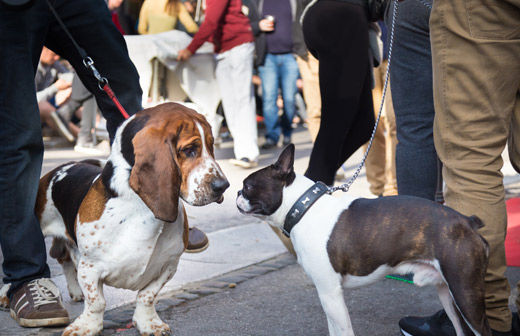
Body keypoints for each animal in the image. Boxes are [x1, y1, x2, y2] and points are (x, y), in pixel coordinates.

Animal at [5, 103, 228, 334]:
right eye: (189, 150)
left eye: (211, 146)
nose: (223, 186)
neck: (140, 207)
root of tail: (64, 167)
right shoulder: (91, 267)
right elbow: (96, 302)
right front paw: (87, 327)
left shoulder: (168, 266)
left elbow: (147, 296)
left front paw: (148, 323)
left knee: (65, 259)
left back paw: (75, 290)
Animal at [236, 145, 492, 336]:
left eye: (247, 186)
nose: (236, 193)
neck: (303, 208)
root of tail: (468, 221)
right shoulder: (327, 295)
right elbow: (333, 330)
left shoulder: (330, 293)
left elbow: (343, 331)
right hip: (447, 293)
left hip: (465, 292)